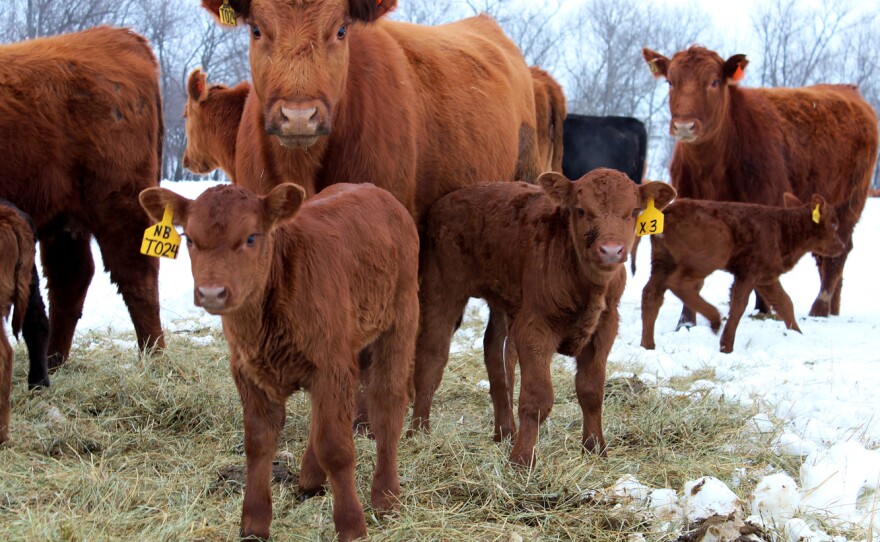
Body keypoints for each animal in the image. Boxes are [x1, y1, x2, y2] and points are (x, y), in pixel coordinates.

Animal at [0, 25, 165, 366]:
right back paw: (52, 360)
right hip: (65, 216)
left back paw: (154, 358)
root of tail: (116, 35)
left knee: (136, 273)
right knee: (71, 277)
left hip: (119, 202)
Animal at [139, 184, 422, 542]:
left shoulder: (331, 366)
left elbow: (336, 448)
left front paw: (352, 526)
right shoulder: (248, 372)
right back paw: (311, 479)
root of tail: (373, 190)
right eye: (189, 238)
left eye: (251, 237)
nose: (212, 292)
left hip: (400, 319)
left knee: (387, 404)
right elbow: (259, 443)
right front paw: (254, 523)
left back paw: (386, 497)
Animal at [412, 170, 672, 468]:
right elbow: (538, 397)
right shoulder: (534, 327)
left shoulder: (605, 327)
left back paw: (505, 433)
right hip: (442, 288)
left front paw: (595, 449)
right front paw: (522, 459)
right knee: (432, 355)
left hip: (503, 298)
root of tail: (449, 199)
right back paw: (418, 432)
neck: (587, 286)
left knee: (496, 354)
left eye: (632, 212)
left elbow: (591, 392)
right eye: (581, 210)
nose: (610, 250)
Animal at [640, 193, 844, 354]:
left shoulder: (766, 276)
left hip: (661, 260)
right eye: (834, 224)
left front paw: (798, 334)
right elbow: (739, 304)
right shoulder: (749, 271)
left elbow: (785, 303)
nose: (842, 246)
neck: (783, 230)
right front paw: (726, 346)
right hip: (710, 255)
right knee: (679, 283)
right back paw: (714, 319)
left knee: (651, 295)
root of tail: (669, 211)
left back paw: (647, 345)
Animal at [644, 45, 876, 324]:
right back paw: (832, 309)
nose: (684, 125)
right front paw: (686, 321)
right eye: (670, 82)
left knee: (837, 256)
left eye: (714, 82)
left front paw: (763, 310)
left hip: (850, 202)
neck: (712, 167)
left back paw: (819, 310)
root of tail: (849, 90)